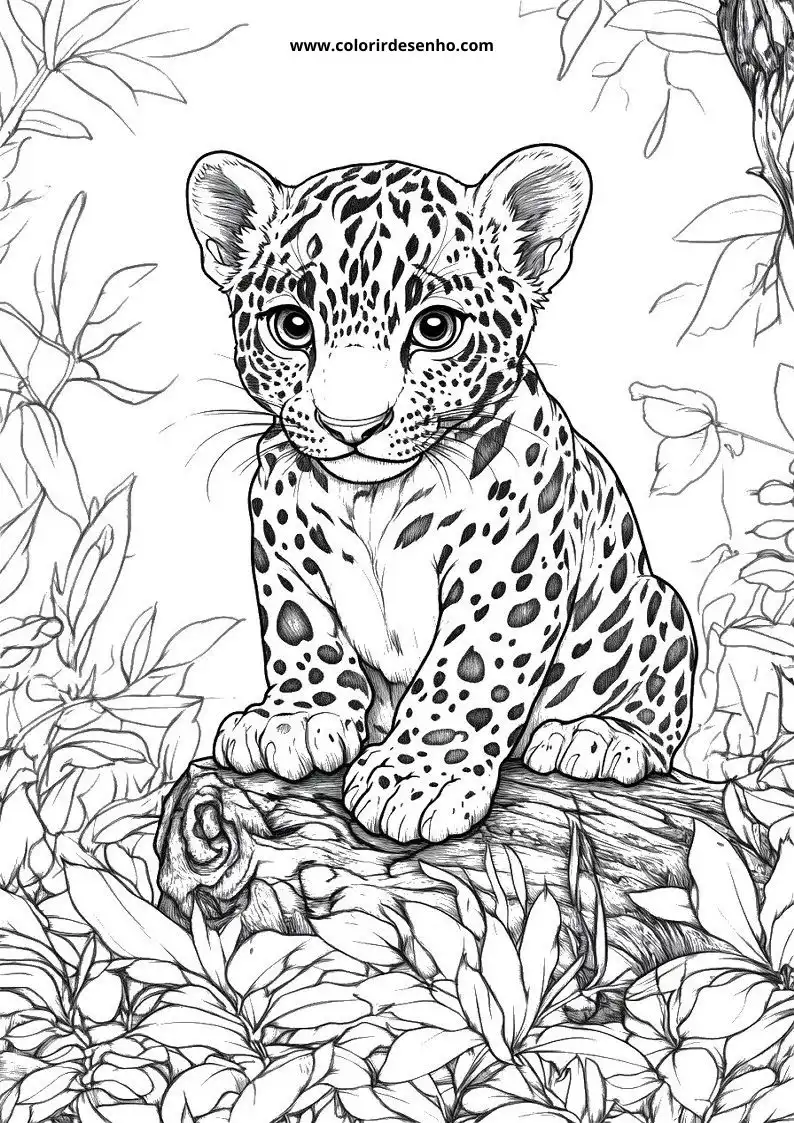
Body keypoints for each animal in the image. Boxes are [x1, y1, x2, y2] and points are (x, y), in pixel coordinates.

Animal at [186, 143, 697, 844]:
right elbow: (302, 630)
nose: (350, 425)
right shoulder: (282, 547)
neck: (370, 499)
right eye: (291, 325)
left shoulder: (507, 574)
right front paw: (298, 717)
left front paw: (419, 780)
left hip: (653, 602)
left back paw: (598, 737)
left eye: (435, 327)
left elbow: (469, 671)